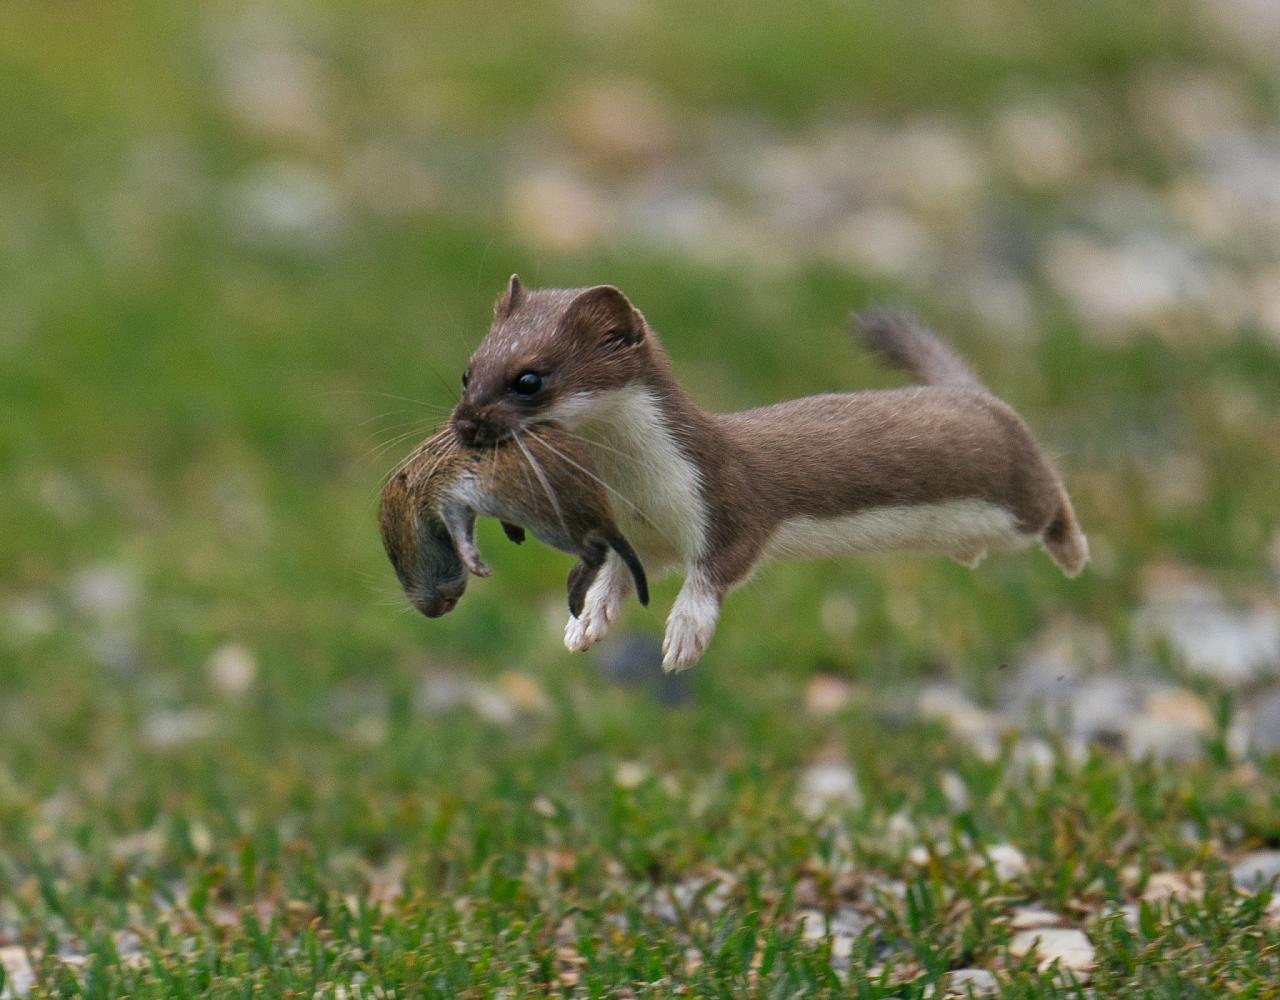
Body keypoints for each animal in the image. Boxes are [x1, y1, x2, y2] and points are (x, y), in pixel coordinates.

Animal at [373, 422, 645, 624]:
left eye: (394, 555)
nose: (431, 612)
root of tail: (607, 520)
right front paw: (510, 534)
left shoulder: (447, 494)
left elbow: (459, 530)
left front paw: (477, 564)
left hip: (550, 526)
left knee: (598, 551)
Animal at [455, 275, 1085, 670]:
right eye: (468, 371)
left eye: (529, 379)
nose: (464, 425)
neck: (641, 492)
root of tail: (970, 392)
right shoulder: (641, 535)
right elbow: (616, 574)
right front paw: (587, 623)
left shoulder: (726, 506)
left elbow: (714, 574)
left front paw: (684, 636)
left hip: (1020, 490)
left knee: (1053, 495)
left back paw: (1074, 551)